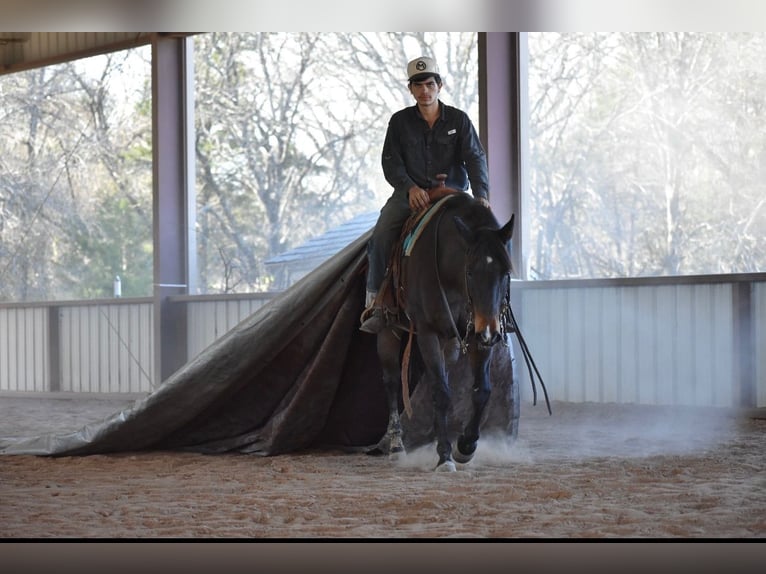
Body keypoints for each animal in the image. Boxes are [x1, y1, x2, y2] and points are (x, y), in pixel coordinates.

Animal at [376, 191, 516, 472]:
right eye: (470, 271)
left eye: (506, 272)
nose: (491, 331)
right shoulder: (428, 333)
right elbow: (441, 393)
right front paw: (444, 456)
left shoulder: (477, 336)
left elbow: (482, 391)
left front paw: (465, 447)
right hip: (388, 328)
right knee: (392, 380)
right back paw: (396, 445)